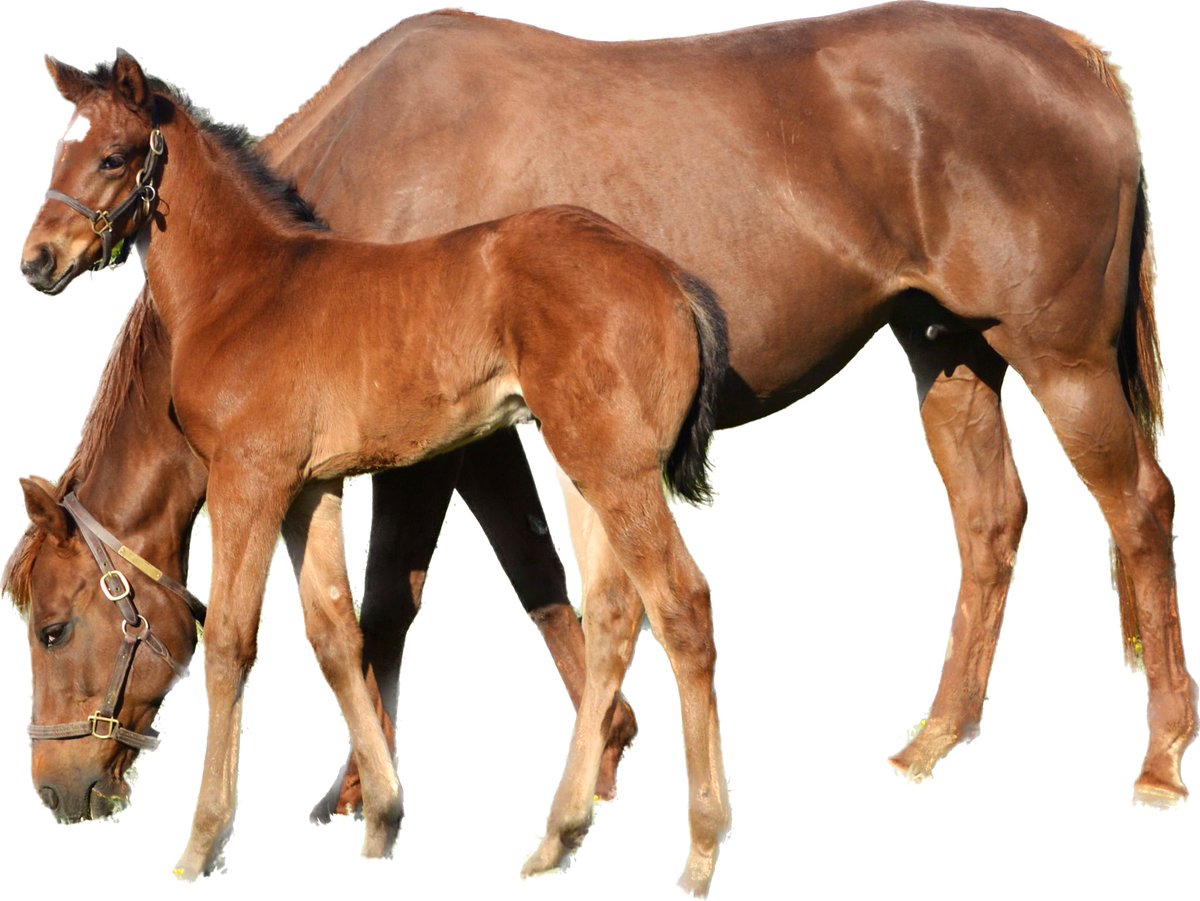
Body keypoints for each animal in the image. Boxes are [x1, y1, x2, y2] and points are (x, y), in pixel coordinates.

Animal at [19, 52, 732, 892]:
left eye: (112, 156)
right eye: (57, 152)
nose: (37, 261)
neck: (243, 288)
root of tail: (671, 277)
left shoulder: (248, 480)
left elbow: (229, 643)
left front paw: (201, 844)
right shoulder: (310, 487)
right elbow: (335, 634)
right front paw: (381, 816)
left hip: (618, 468)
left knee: (682, 607)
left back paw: (701, 851)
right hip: (583, 462)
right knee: (616, 616)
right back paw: (557, 836)